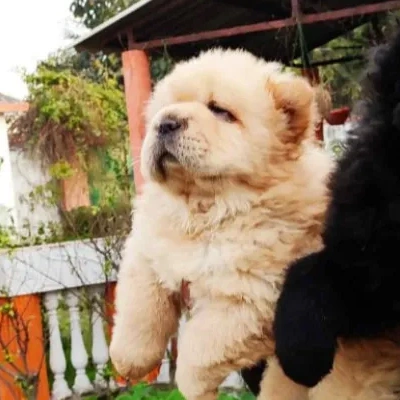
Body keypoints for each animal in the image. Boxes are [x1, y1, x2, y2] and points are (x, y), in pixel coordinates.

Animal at [108, 50, 332, 400]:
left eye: (220, 111)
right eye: (162, 110)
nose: (165, 122)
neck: (203, 210)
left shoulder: (251, 300)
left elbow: (199, 347)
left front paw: (192, 388)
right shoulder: (148, 252)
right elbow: (140, 307)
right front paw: (128, 361)